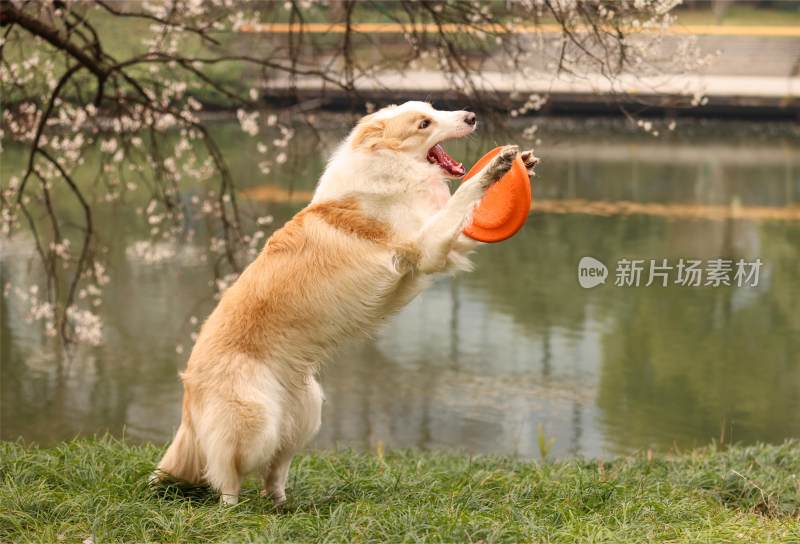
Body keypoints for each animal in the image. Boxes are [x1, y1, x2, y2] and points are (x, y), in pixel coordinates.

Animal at [153, 100, 540, 504]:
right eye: (424, 123)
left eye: (434, 108)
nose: (471, 117)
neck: (391, 165)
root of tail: (188, 395)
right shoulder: (427, 247)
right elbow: (462, 199)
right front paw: (494, 171)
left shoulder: (444, 248)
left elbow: (465, 219)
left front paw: (524, 162)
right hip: (255, 420)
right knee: (226, 470)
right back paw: (232, 506)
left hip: (306, 414)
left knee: (274, 468)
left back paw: (282, 504)